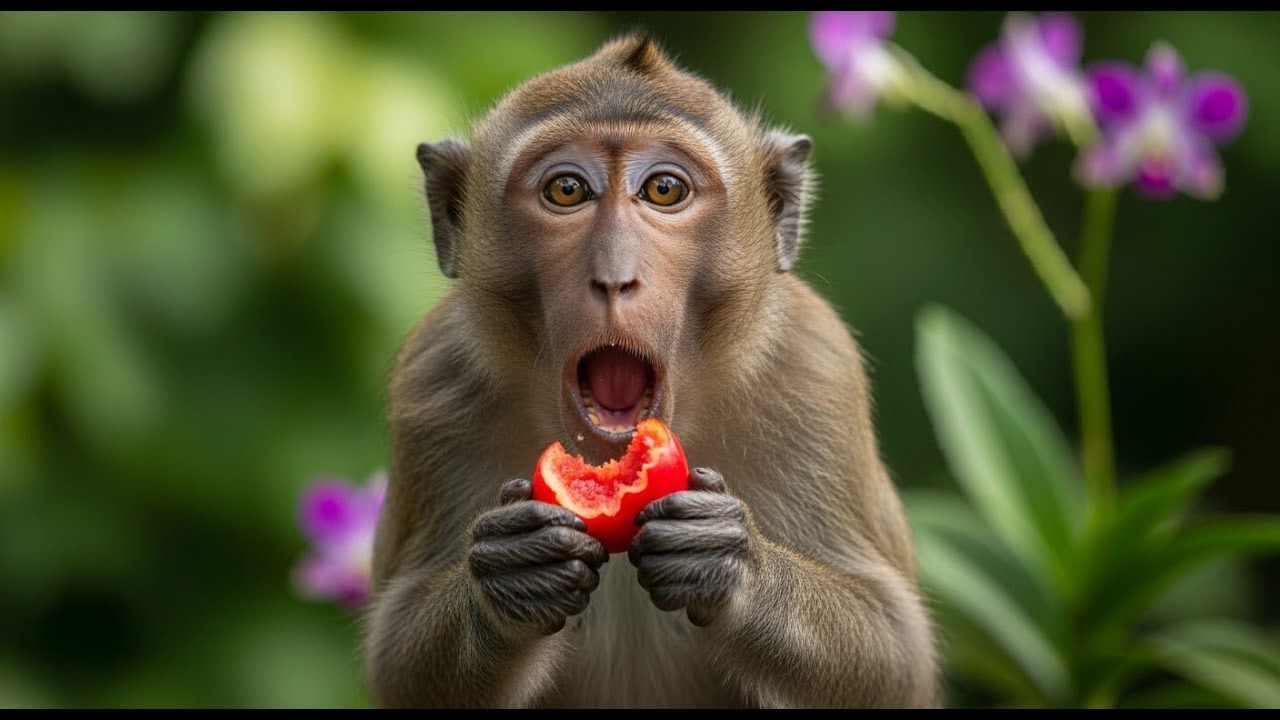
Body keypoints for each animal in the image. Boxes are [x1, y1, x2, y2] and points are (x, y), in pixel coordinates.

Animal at [362, 33, 940, 709]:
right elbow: (396, 658)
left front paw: (732, 566)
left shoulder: (816, 371)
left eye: (664, 190)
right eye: (567, 190)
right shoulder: (433, 386)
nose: (615, 276)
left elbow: (897, 650)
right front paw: (510, 577)